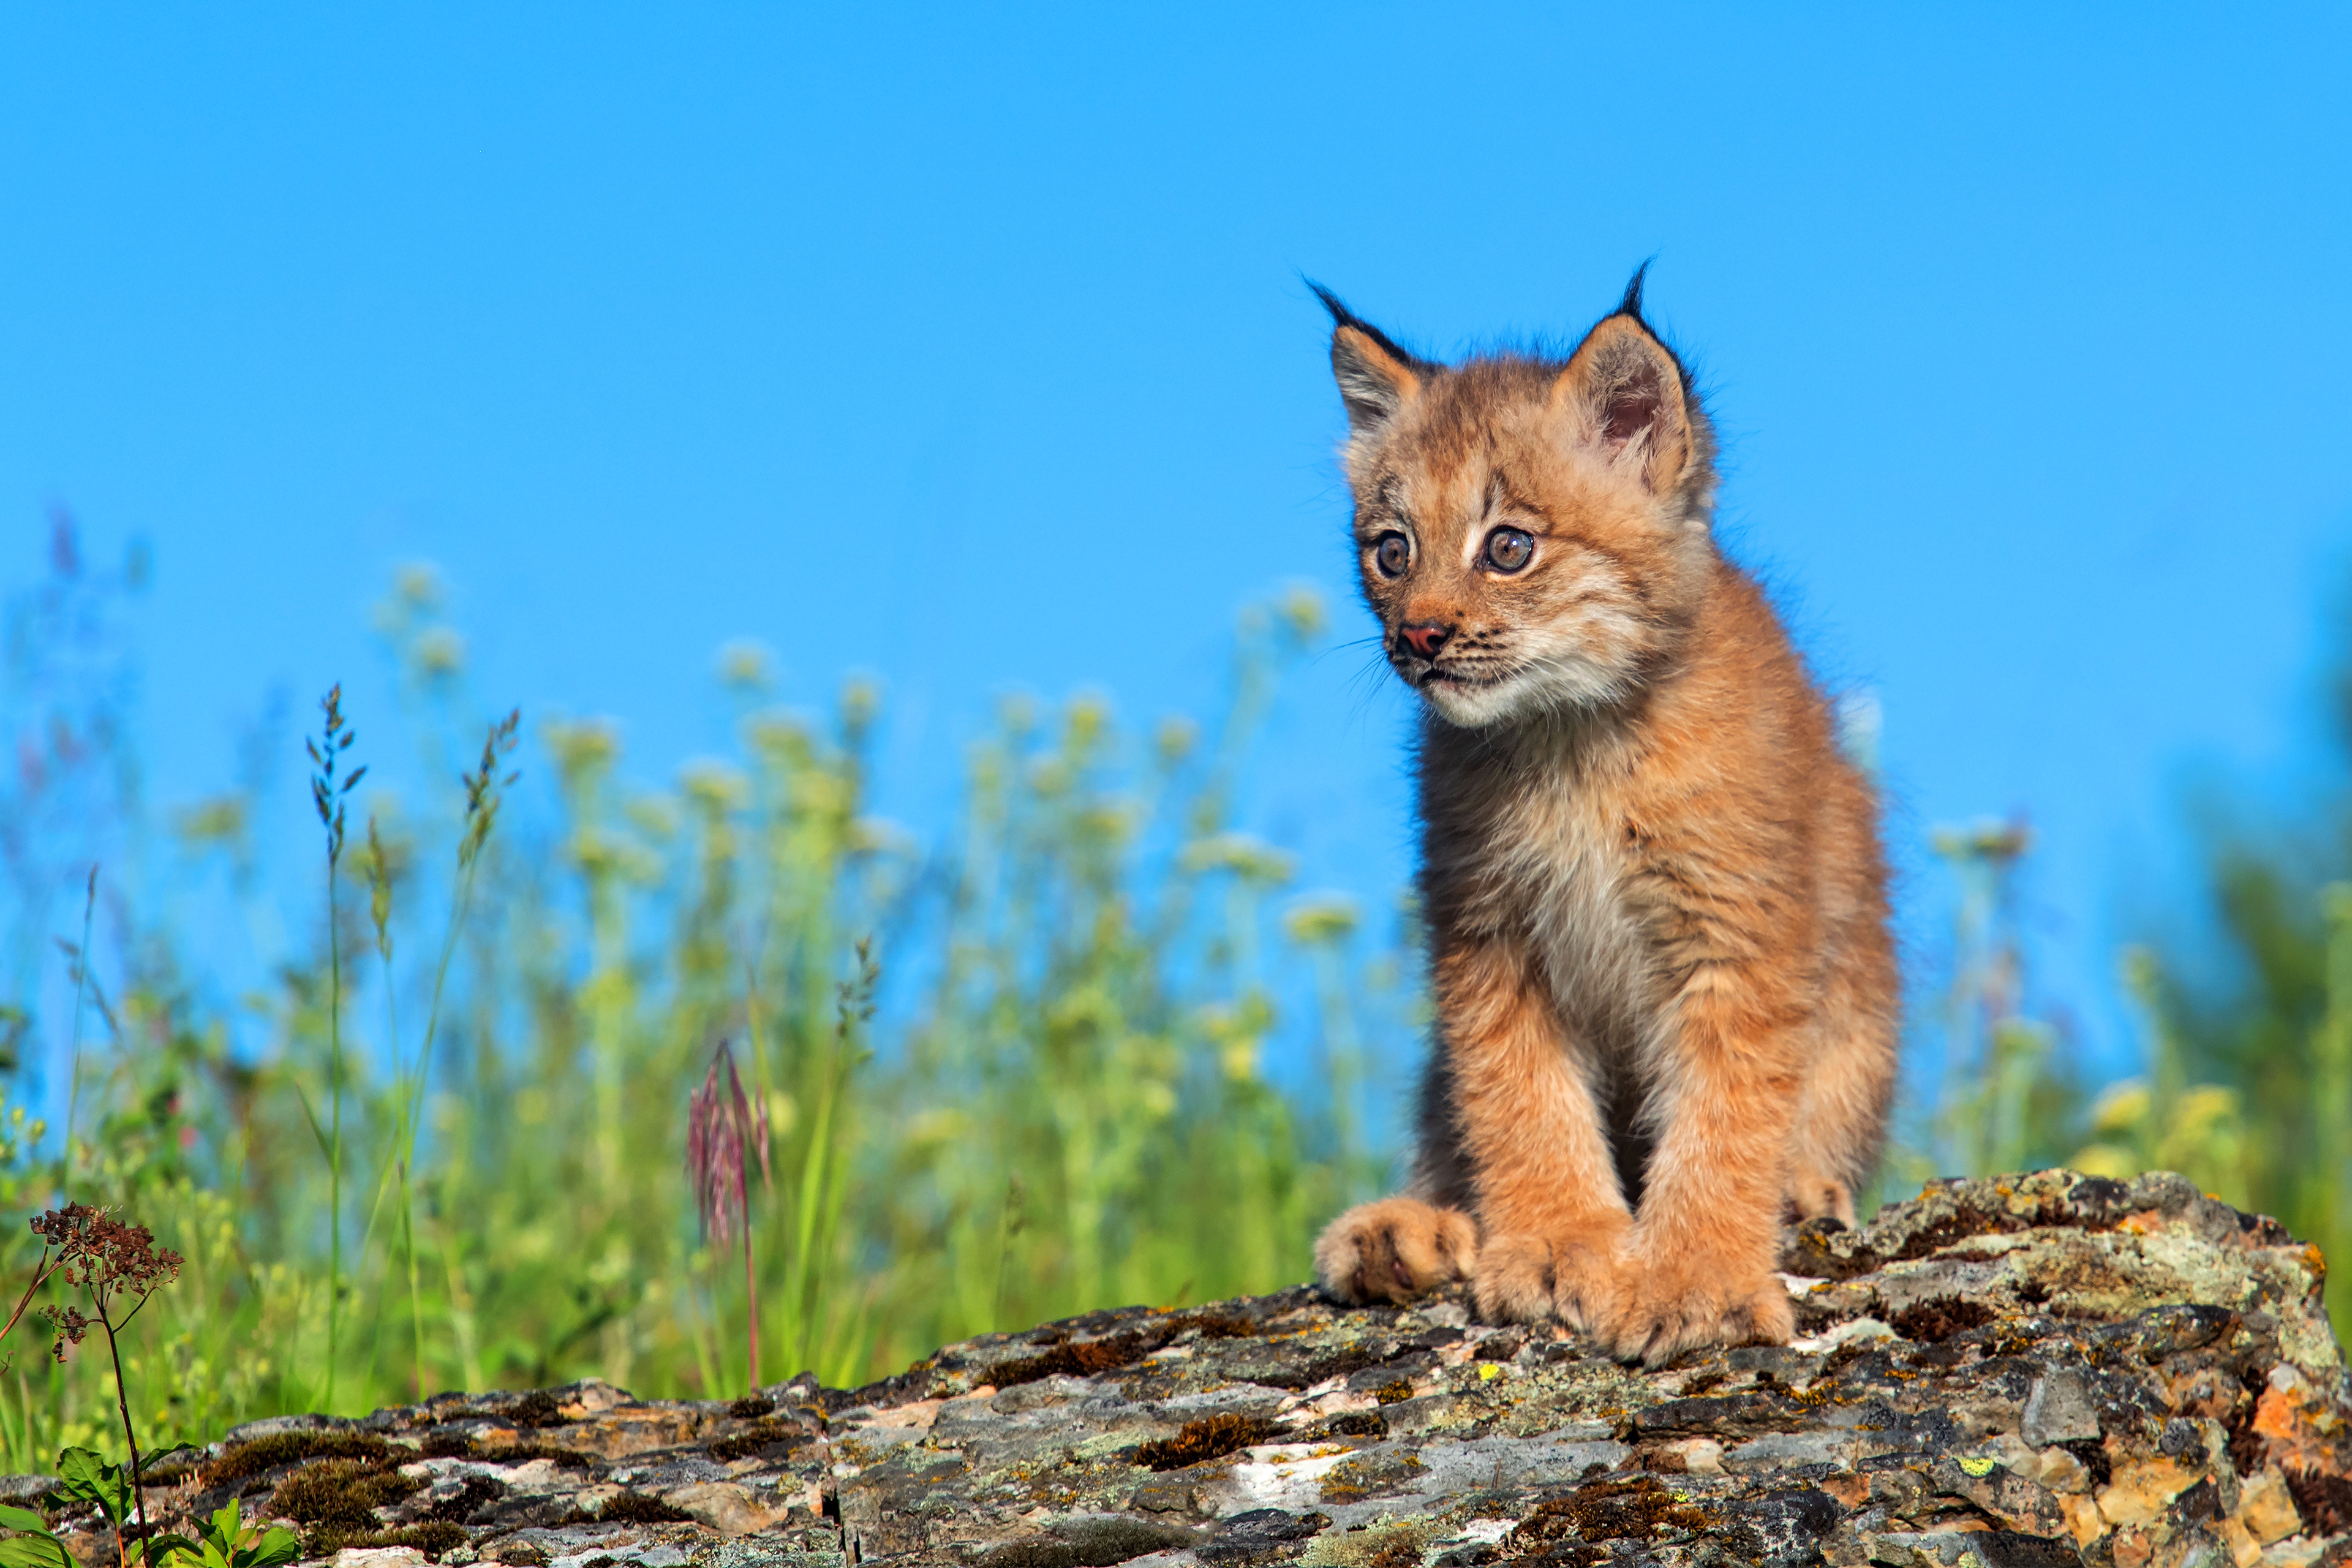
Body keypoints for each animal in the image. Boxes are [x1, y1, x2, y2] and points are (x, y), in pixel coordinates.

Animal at [1317, 276, 1900, 1363]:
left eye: (1509, 548)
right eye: (1391, 551)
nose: (1417, 636)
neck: (1571, 738)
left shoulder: (1733, 931)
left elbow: (1726, 1107)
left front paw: (1694, 1281)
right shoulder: (1488, 932)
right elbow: (1517, 1098)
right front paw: (1557, 1244)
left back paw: (1804, 1191)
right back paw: (1410, 1228)